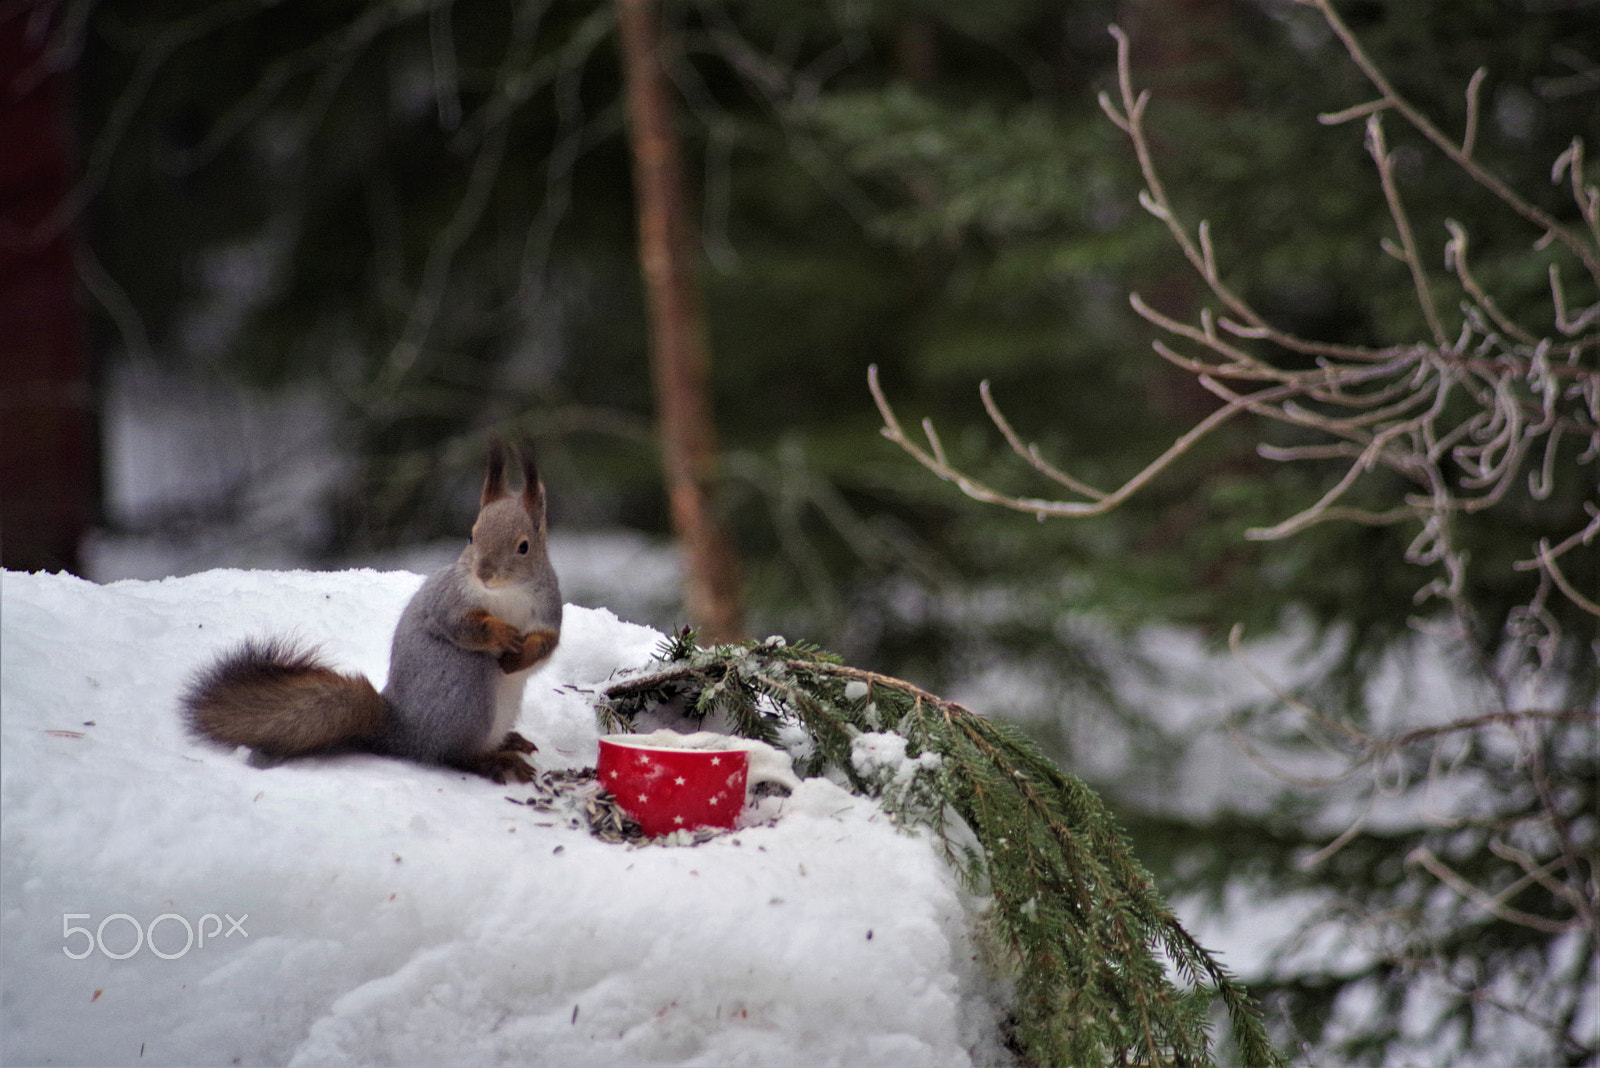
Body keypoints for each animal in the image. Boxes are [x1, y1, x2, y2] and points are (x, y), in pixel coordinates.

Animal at [183, 441, 563, 783]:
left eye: (524, 547)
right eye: (471, 536)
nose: (483, 573)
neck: (506, 594)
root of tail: (400, 732)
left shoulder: (548, 610)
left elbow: (546, 644)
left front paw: (521, 655)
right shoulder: (449, 601)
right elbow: (460, 626)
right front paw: (502, 634)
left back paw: (508, 742)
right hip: (466, 681)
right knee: (452, 754)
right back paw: (494, 761)